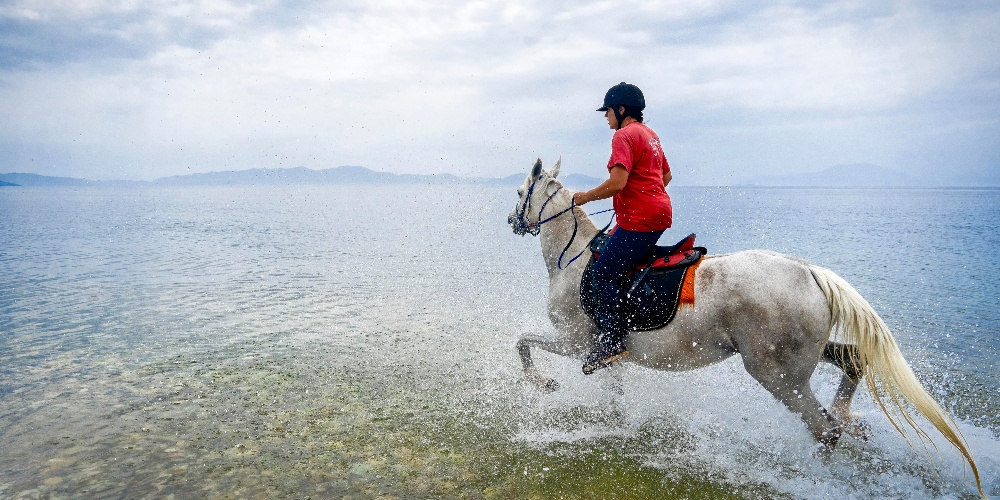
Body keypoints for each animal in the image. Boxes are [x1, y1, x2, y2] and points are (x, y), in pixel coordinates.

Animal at [508, 158, 984, 494]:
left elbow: (523, 341)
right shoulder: (606, 354)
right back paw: (852, 421)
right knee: (852, 360)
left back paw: (817, 474)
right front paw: (615, 423)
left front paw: (542, 383)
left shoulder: (574, 342)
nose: (513, 222)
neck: (573, 260)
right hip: (801, 356)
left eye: (519, 191)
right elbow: (613, 392)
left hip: (776, 373)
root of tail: (810, 271)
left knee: (823, 427)